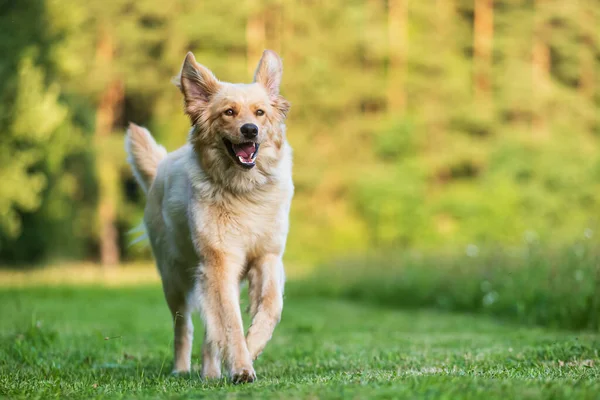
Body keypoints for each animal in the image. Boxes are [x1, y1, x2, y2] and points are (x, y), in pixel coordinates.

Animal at [125, 50, 294, 384]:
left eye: (259, 113)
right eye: (229, 112)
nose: (250, 130)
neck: (244, 191)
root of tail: (162, 165)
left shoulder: (267, 257)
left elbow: (270, 307)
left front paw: (252, 348)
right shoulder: (219, 264)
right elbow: (229, 323)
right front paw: (241, 365)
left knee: (208, 332)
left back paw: (211, 372)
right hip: (175, 278)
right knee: (184, 326)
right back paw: (182, 369)